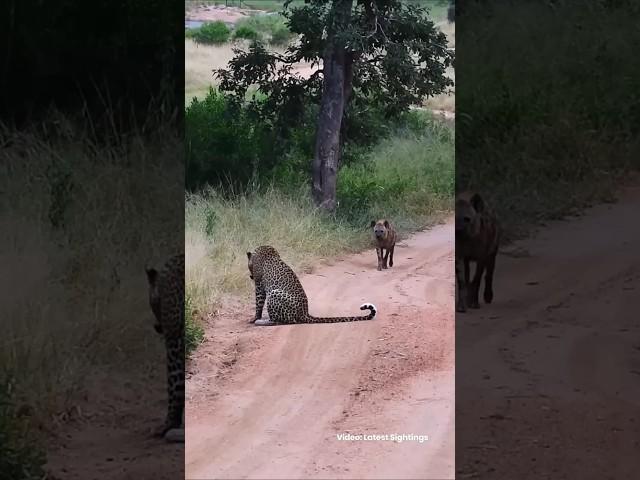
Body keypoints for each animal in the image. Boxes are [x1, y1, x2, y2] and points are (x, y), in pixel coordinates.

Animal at [245, 244, 376, 326]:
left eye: (249, 267)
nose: (250, 277)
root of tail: (305, 313)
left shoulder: (259, 285)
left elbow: (258, 303)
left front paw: (254, 318)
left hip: (275, 293)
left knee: (286, 321)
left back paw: (265, 322)